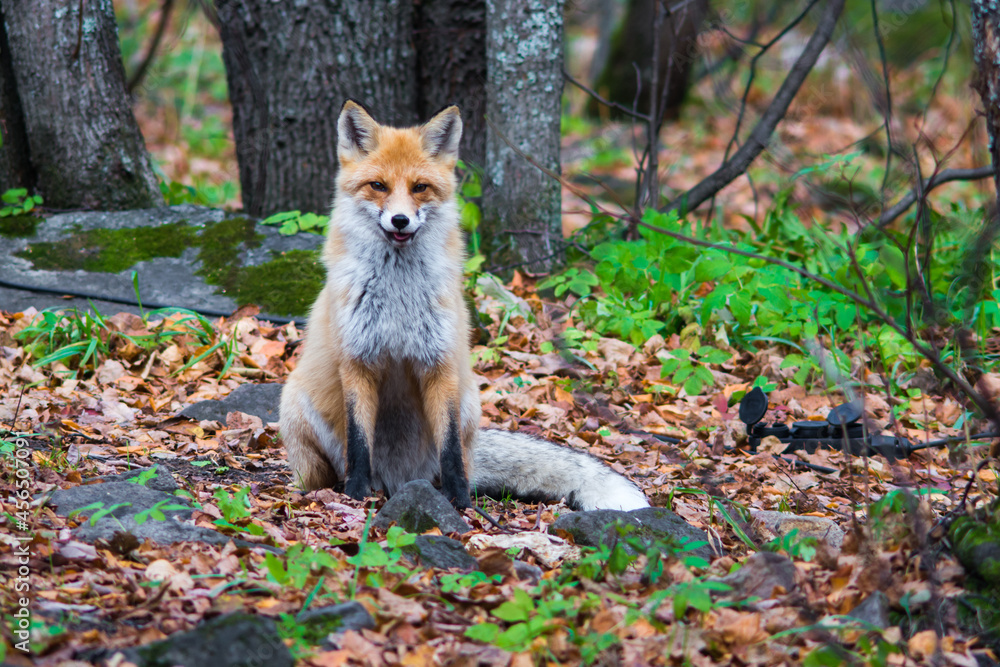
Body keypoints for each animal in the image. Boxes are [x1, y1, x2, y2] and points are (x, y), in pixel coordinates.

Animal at [279, 100, 649, 512]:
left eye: (420, 188)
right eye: (378, 186)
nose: (400, 220)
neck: (398, 296)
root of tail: (396, 479)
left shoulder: (440, 362)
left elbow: (451, 446)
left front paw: (459, 500)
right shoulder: (358, 361)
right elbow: (359, 443)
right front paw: (356, 495)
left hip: (471, 404)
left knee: (459, 458)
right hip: (293, 409)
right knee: (324, 472)